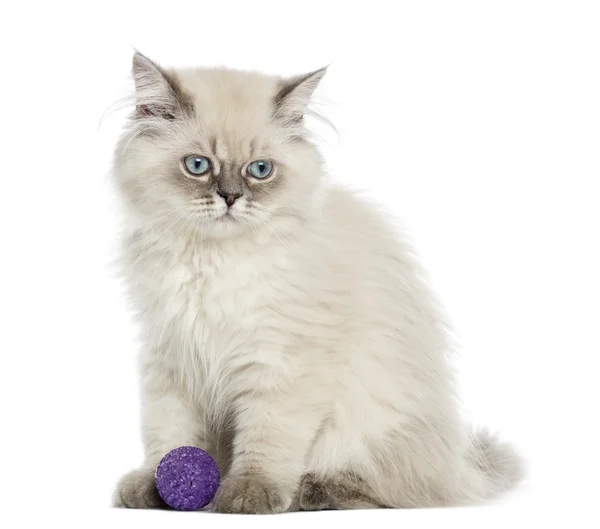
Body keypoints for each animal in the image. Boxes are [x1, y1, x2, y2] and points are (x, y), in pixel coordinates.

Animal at [111, 52, 520, 512]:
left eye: (260, 170)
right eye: (197, 166)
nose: (231, 197)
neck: (214, 262)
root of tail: (459, 464)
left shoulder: (282, 364)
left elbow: (267, 441)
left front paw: (247, 494)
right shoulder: (172, 357)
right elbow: (170, 436)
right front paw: (158, 485)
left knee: (386, 486)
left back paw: (317, 491)